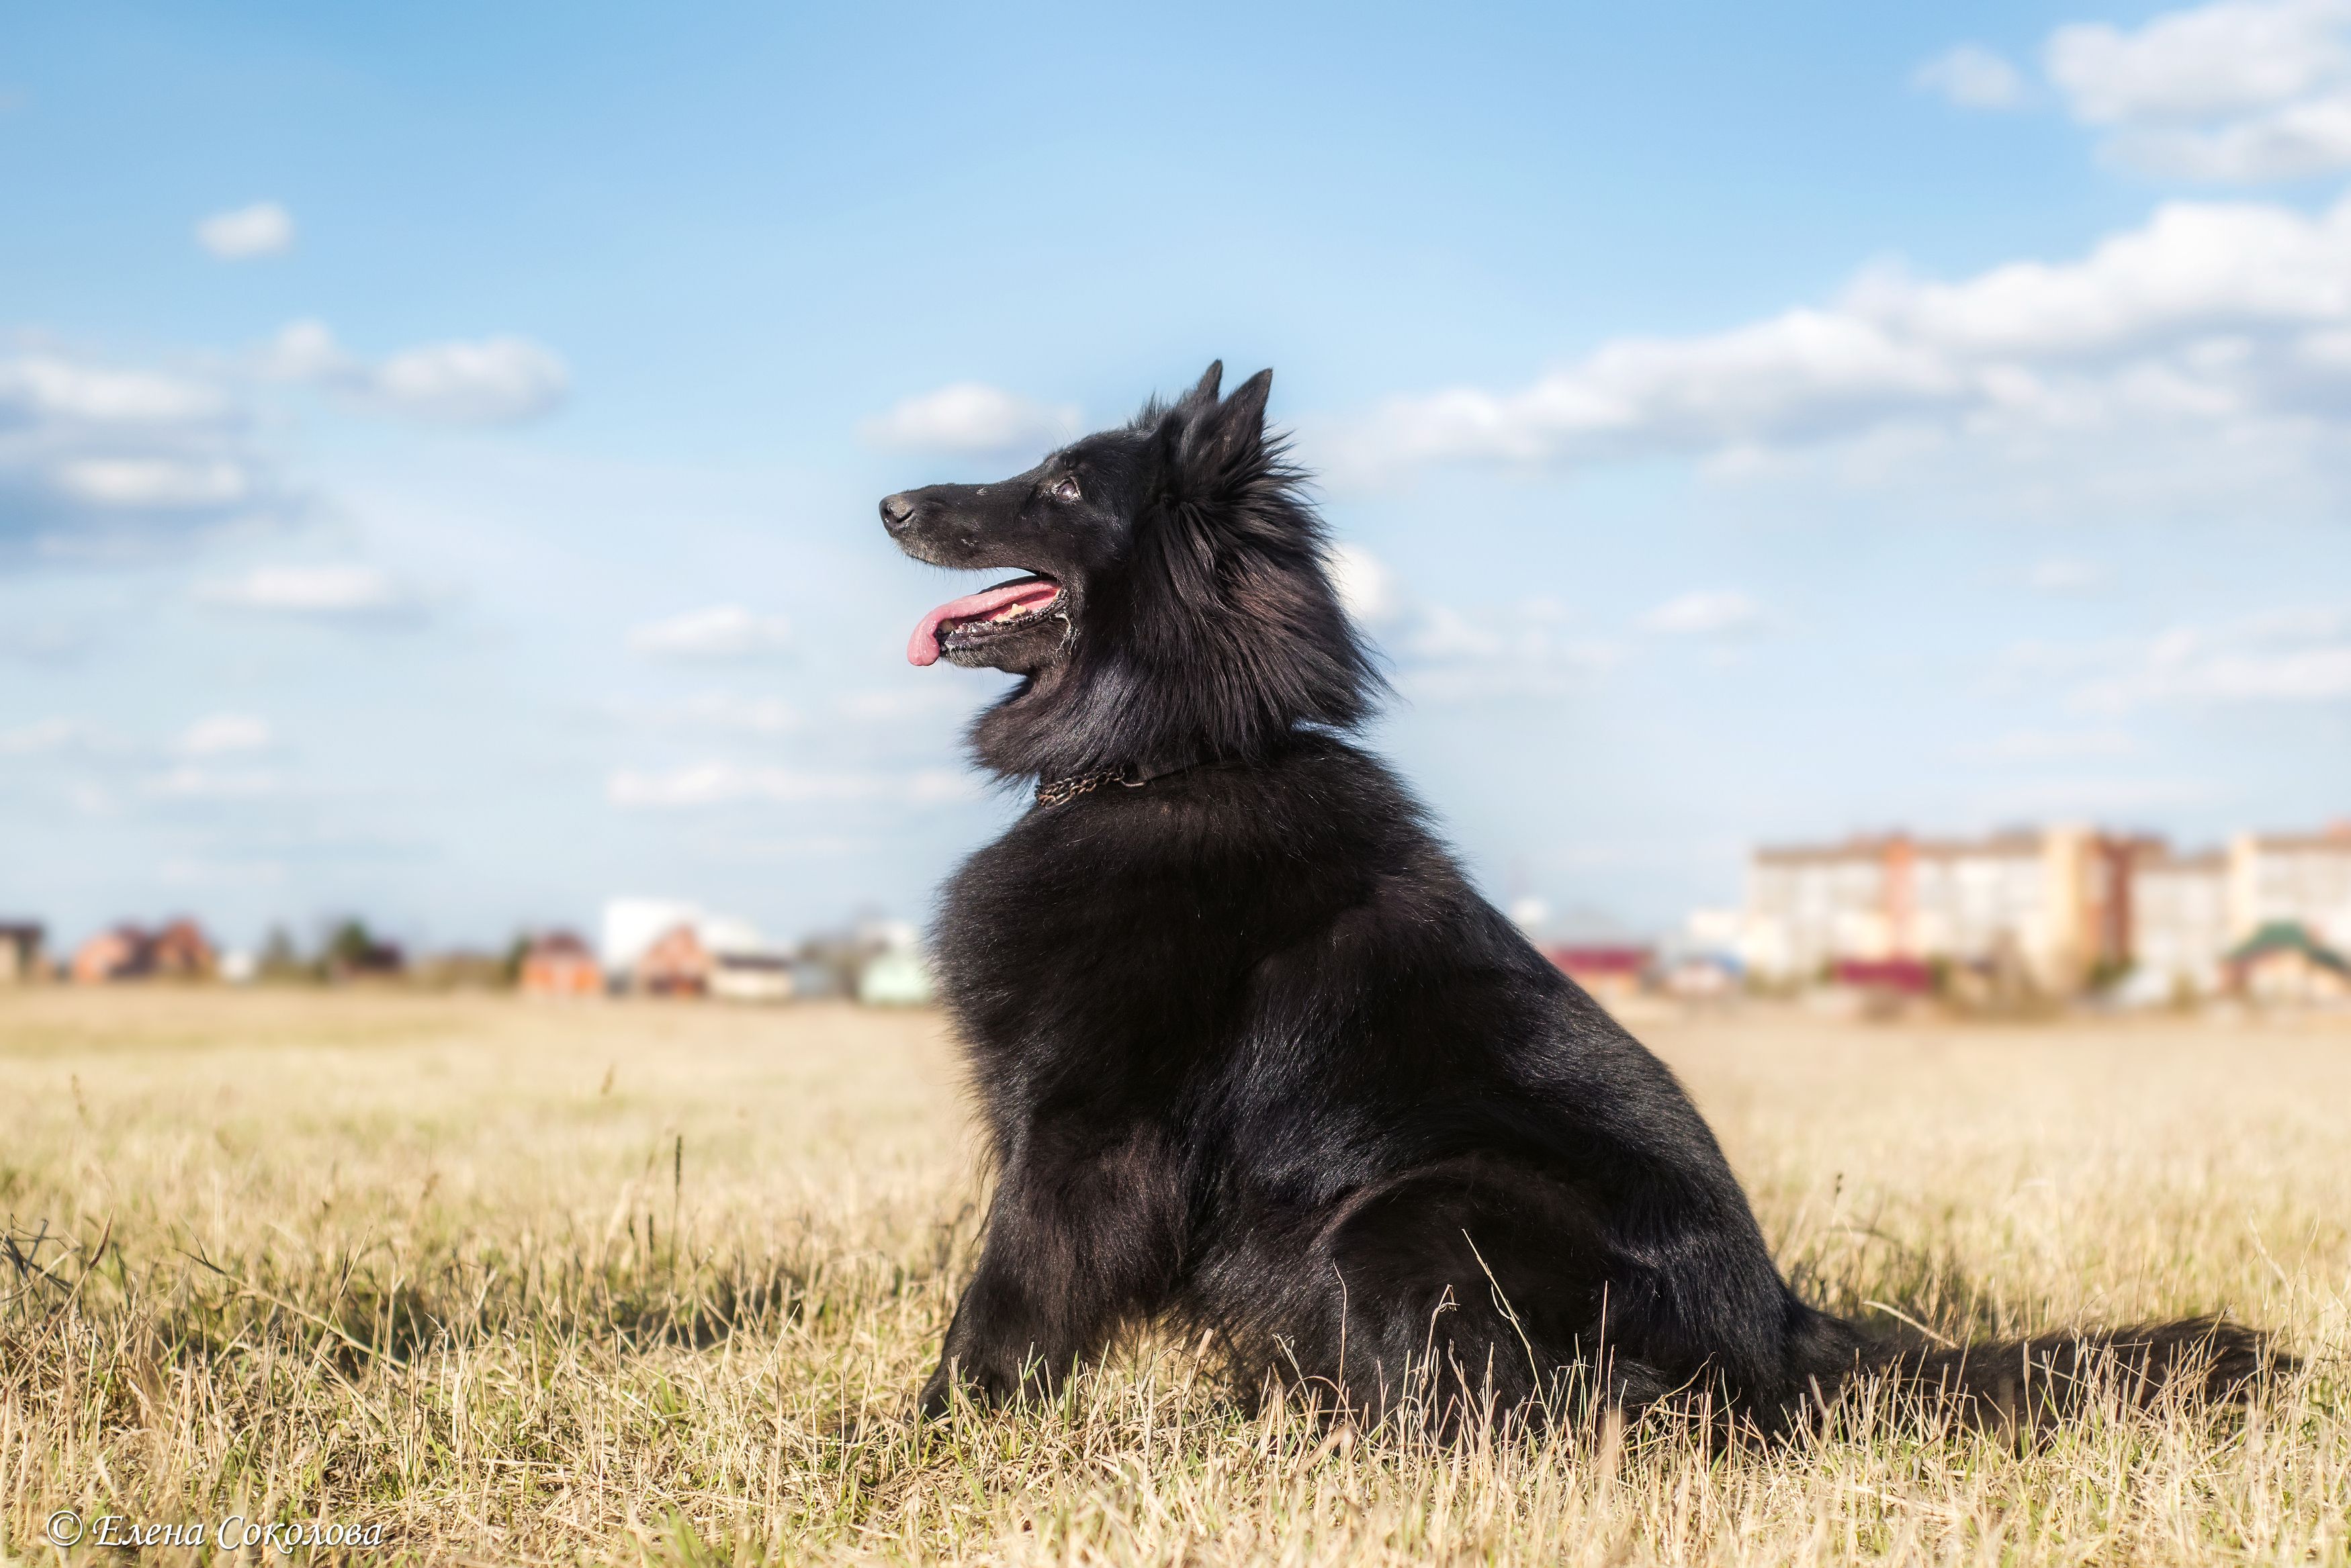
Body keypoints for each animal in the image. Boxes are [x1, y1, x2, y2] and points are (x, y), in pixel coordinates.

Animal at [884, 362, 2276, 1429]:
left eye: (1066, 487)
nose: (892, 500)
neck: (1172, 761)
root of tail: (1783, 1338)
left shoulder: (1085, 1139)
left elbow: (1005, 1306)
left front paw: (925, 1432)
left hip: (1406, 1211)